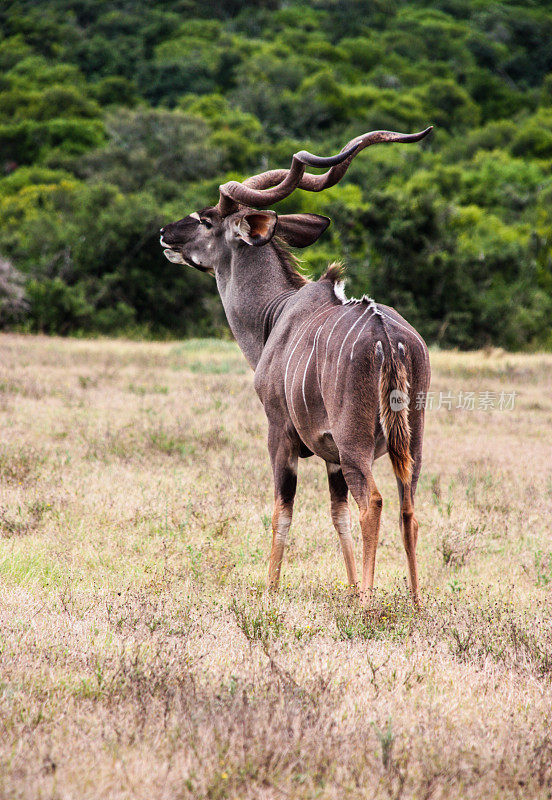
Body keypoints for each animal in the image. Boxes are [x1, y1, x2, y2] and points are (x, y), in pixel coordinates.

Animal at [162, 126, 434, 608]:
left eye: (207, 220)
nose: (164, 234)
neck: (275, 315)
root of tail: (388, 339)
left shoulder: (280, 433)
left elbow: (282, 511)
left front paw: (270, 592)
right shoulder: (329, 455)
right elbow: (336, 513)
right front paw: (348, 588)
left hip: (355, 442)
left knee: (374, 502)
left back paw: (368, 603)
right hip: (409, 442)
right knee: (407, 507)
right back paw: (416, 603)